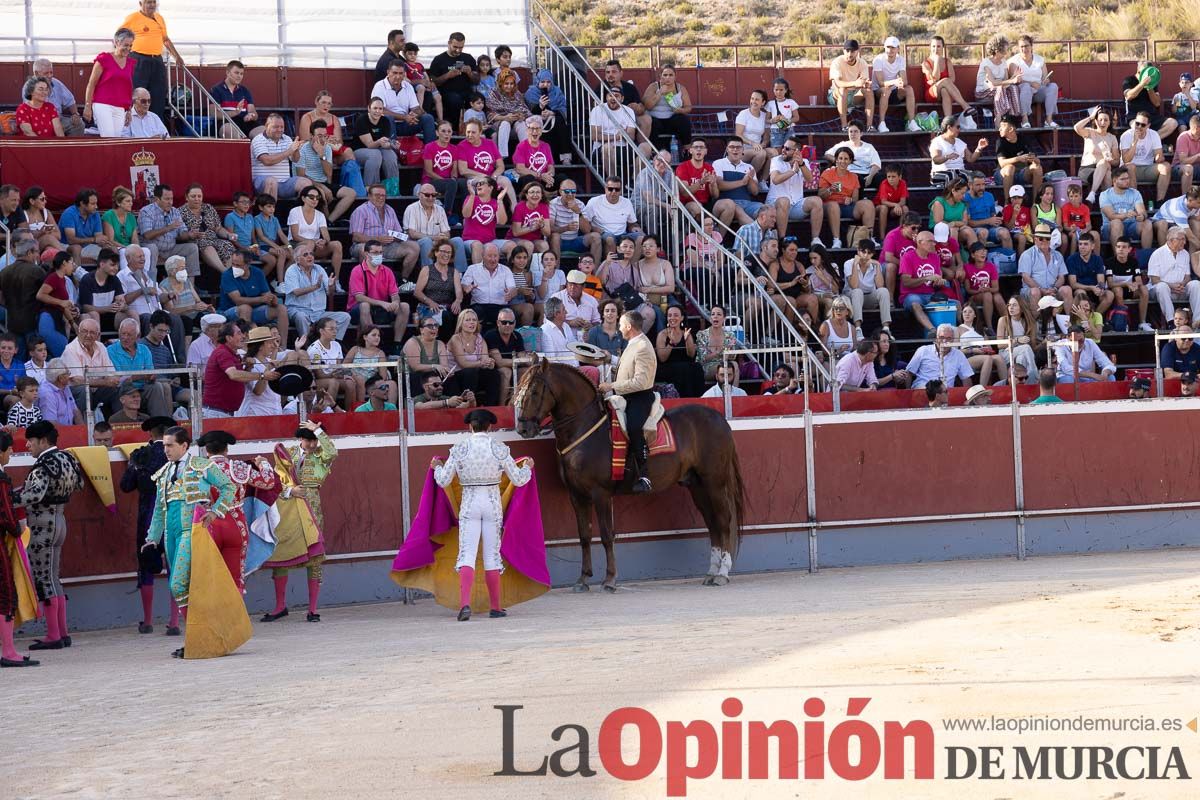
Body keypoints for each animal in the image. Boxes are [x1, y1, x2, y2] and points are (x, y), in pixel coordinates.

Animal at [513, 359, 744, 592]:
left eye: (534, 391)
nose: (523, 428)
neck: (585, 428)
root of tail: (719, 418)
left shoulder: (601, 493)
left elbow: (607, 535)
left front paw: (609, 579)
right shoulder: (576, 495)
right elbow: (584, 535)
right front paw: (583, 579)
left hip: (714, 482)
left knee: (723, 520)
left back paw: (722, 574)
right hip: (697, 485)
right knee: (712, 523)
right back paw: (711, 572)